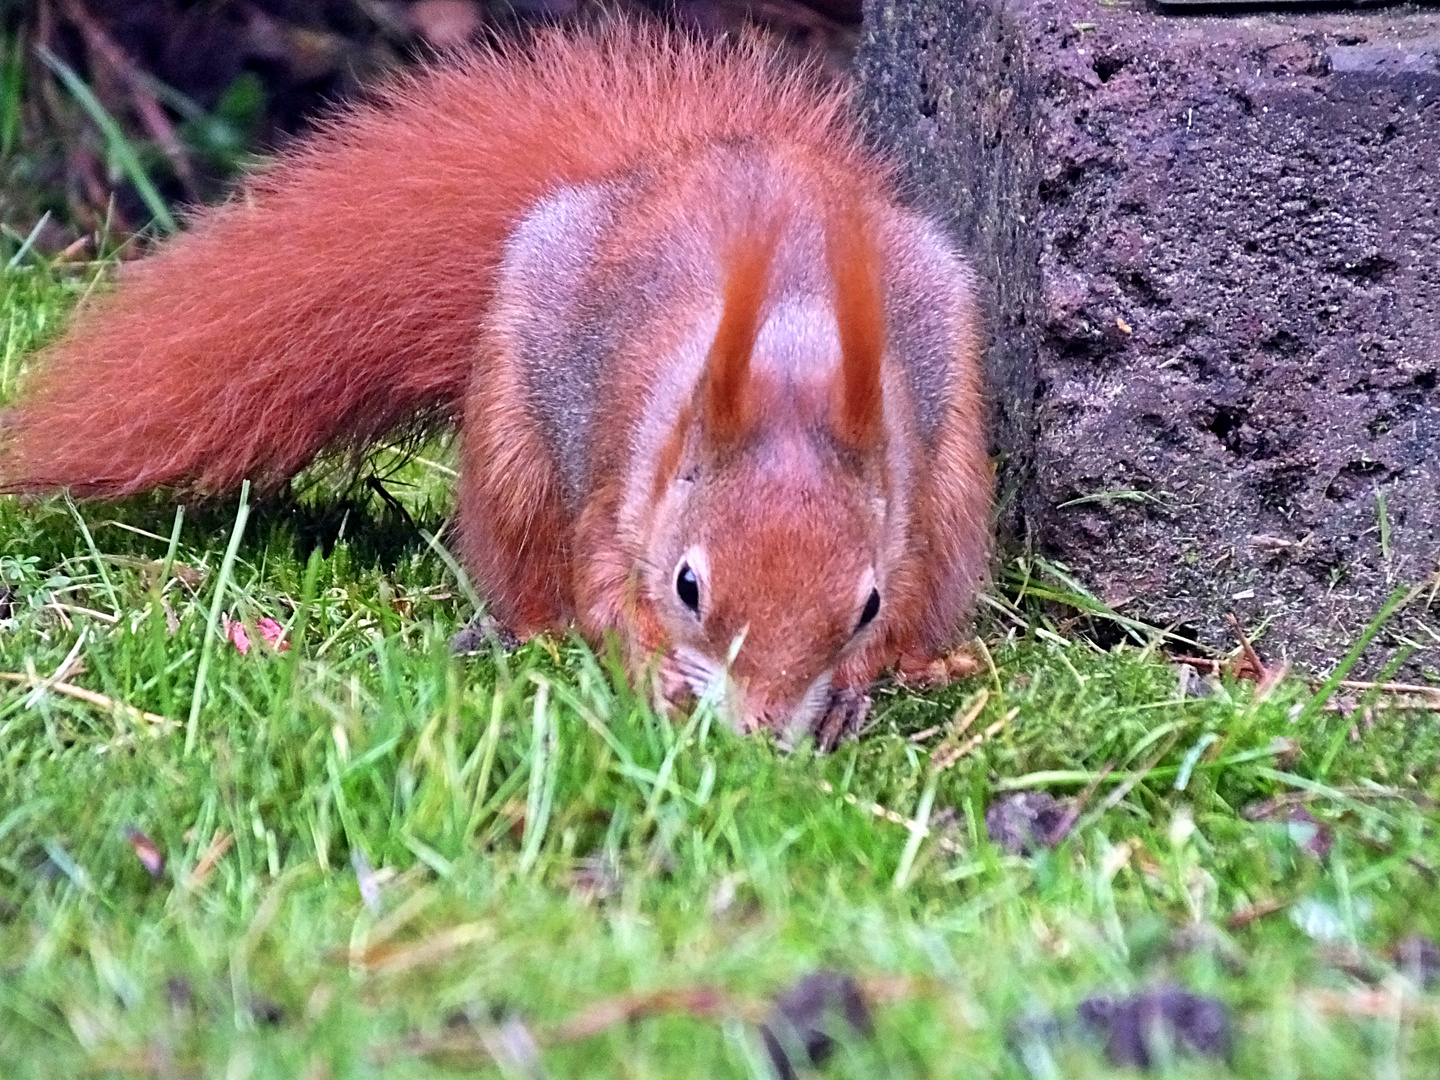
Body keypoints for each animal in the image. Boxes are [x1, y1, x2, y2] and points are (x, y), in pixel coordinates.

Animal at [0, 27, 990, 754]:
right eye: (687, 587)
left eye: (861, 607)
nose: (757, 731)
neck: (790, 359)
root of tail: (665, 165)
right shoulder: (618, 479)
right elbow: (602, 589)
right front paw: (657, 676)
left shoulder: (902, 508)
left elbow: (900, 593)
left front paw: (849, 688)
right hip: (514, 446)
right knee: (528, 568)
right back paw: (529, 633)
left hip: (955, 482)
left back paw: (924, 665)